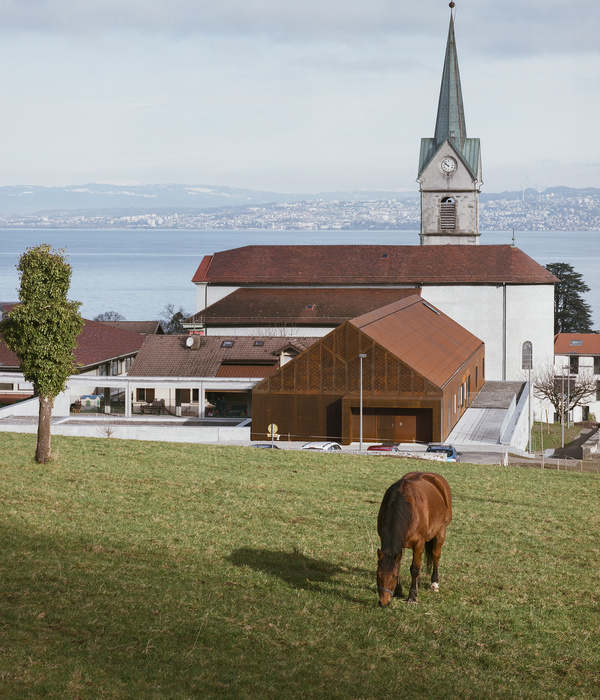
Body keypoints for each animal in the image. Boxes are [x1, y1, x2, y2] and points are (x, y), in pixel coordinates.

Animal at [376, 470, 450, 608]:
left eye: (393, 576)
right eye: (378, 574)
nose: (383, 602)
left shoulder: (419, 543)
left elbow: (414, 569)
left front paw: (412, 596)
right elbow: (400, 566)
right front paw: (398, 592)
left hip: (441, 532)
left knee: (436, 555)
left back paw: (434, 583)